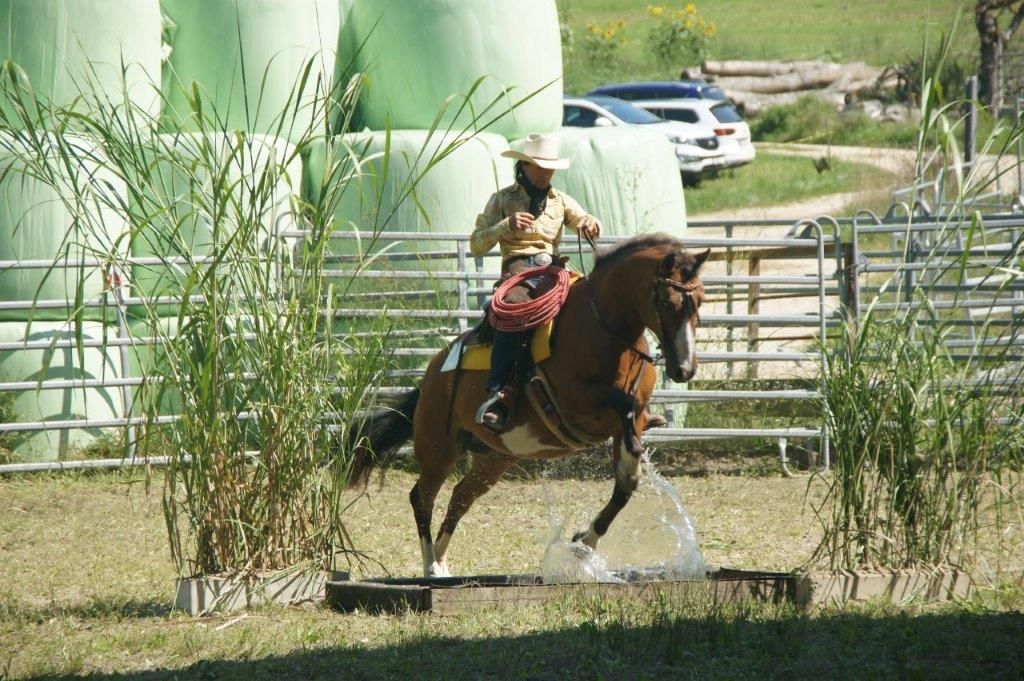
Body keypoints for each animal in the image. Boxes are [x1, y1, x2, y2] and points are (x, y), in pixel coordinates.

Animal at [351, 233, 709, 577]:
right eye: (667, 301)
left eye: (701, 301)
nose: (685, 368)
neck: (603, 330)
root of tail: (433, 374)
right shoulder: (576, 401)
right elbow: (625, 405)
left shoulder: (623, 427)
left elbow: (626, 483)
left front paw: (585, 542)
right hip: (438, 447)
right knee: (422, 497)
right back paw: (431, 566)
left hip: (495, 458)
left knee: (460, 497)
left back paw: (441, 558)